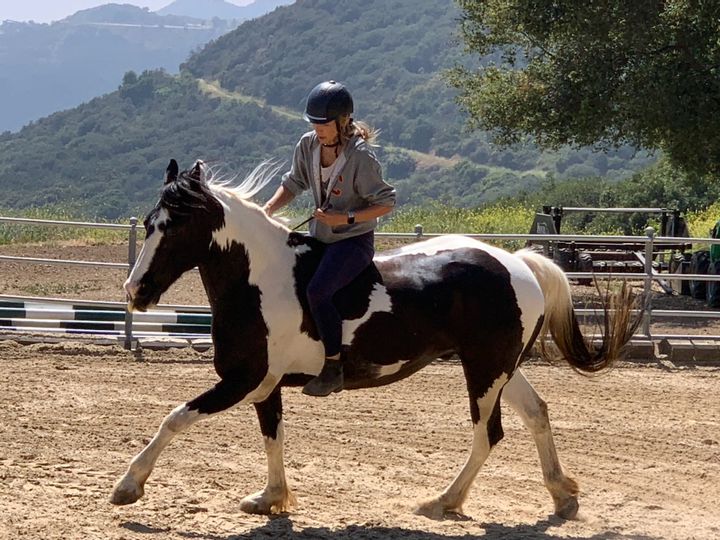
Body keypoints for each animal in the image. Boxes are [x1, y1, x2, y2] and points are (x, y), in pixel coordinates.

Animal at [109, 159, 640, 520]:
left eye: (174, 225)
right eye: (149, 222)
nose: (135, 292)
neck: (260, 279)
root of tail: (518, 263)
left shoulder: (241, 380)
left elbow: (175, 419)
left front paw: (129, 484)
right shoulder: (264, 384)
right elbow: (273, 437)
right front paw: (271, 498)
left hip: (485, 371)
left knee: (488, 435)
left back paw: (443, 500)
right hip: (501, 367)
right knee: (537, 414)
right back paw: (561, 494)